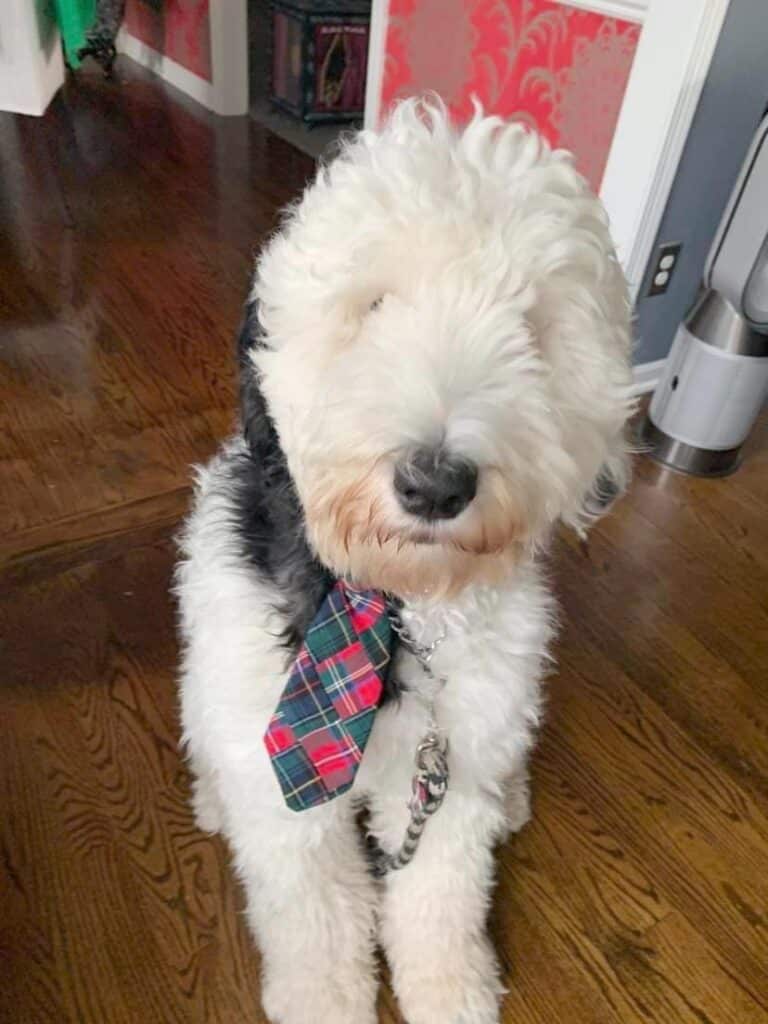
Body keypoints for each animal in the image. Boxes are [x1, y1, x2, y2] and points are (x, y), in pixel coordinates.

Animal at [177, 101, 634, 1024]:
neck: (394, 612)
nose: (434, 483)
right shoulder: (288, 797)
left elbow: (440, 893)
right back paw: (210, 799)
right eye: (373, 306)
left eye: (530, 328)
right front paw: (324, 1001)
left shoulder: (445, 767)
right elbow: (316, 916)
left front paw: (451, 988)